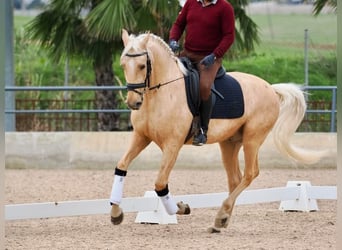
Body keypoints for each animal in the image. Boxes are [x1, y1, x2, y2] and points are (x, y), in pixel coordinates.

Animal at [109, 30, 326, 233]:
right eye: (123, 65)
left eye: (142, 66)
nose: (133, 102)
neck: (161, 93)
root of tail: (271, 88)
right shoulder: (141, 137)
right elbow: (121, 166)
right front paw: (116, 213)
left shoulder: (173, 145)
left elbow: (160, 184)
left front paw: (181, 208)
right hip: (229, 143)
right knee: (235, 178)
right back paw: (222, 220)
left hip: (253, 139)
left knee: (250, 174)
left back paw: (221, 215)